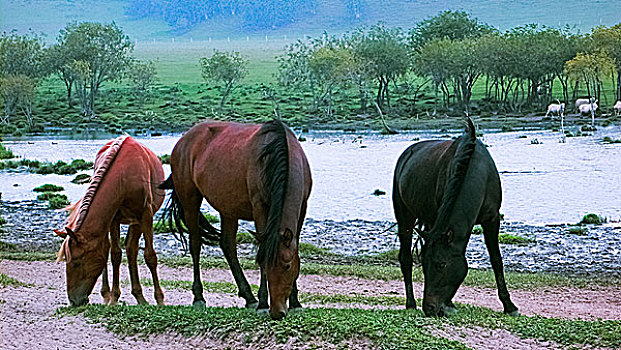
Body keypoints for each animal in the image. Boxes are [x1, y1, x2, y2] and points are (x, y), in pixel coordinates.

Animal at [55, 136, 165, 306]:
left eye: (77, 262)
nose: (73, 300)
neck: (124, 177)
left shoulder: (146, 215)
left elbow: (150, 256)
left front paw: (160, 300)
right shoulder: (113, 219)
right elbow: (115, 255)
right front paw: (113, 298)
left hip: (137, 222)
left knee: (131, 249)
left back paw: (140, 297)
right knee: (111, 249)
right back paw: (109, 294)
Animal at [159, 119, 310, 320]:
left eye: (287, 266)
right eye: (266, 264)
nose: (277, 311)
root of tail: (183, 140)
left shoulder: (302, 207)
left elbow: (294, 247)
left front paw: (295, 302)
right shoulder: (259, 206)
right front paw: (263, 303)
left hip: (228, 209)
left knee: (228, 245)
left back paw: (249, 297)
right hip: (190, 199)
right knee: (195, 244)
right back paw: (199, 297)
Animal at [392, 117, 520, 318]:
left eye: (441, 264)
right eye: (426, 264)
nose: (429, 308)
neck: (477, 172)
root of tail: (406, 155)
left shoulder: (492, 219)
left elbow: (496, 260)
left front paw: (509, 305)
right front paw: (449, 305)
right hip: (405, 217)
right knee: (405, 258)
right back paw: (410, 303)